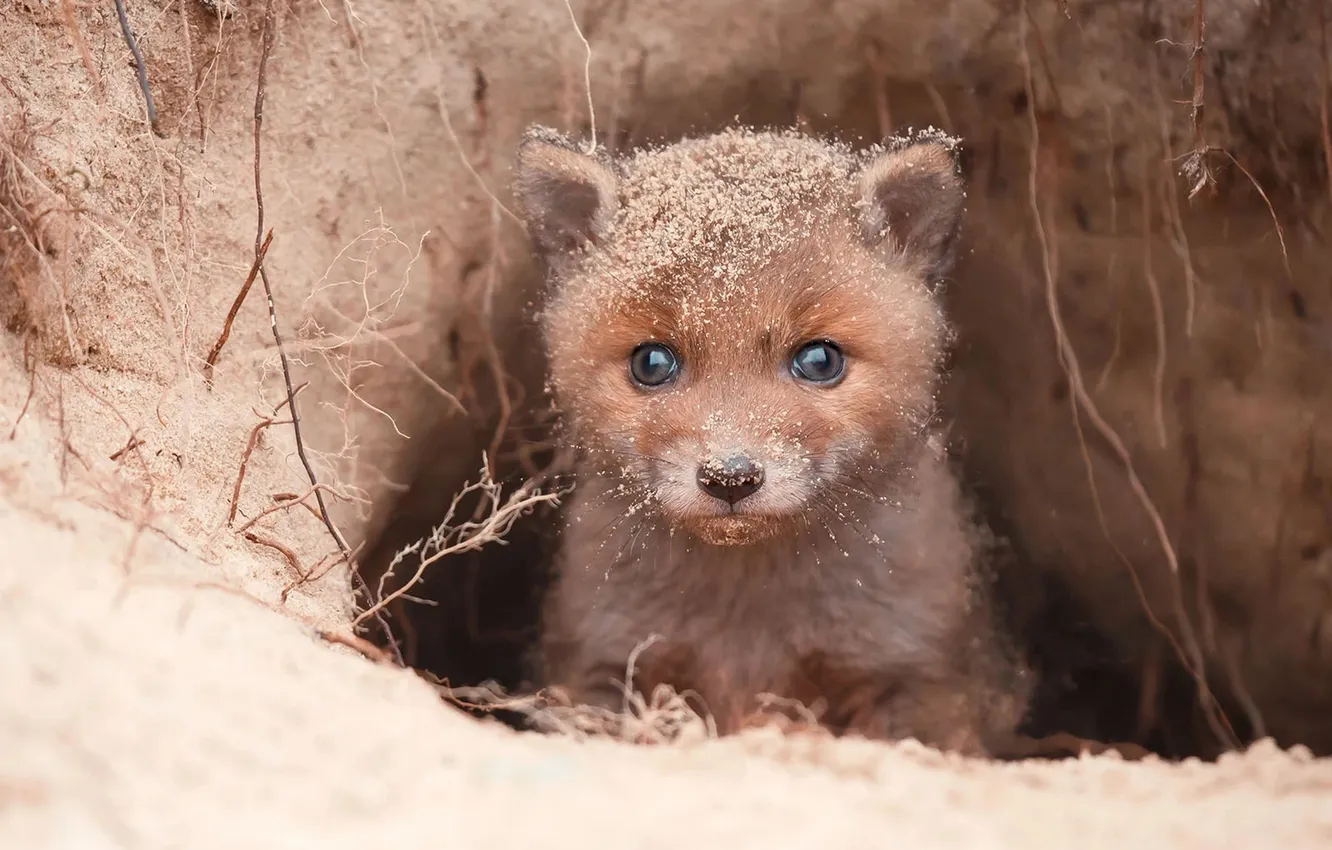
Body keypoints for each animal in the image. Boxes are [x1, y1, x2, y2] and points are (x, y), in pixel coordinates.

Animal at [511, 125, 1028, 755]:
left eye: (819, 359)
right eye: (652, 362)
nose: (730, 477)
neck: (749, 613)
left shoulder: (918, 674)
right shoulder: (599, 663)